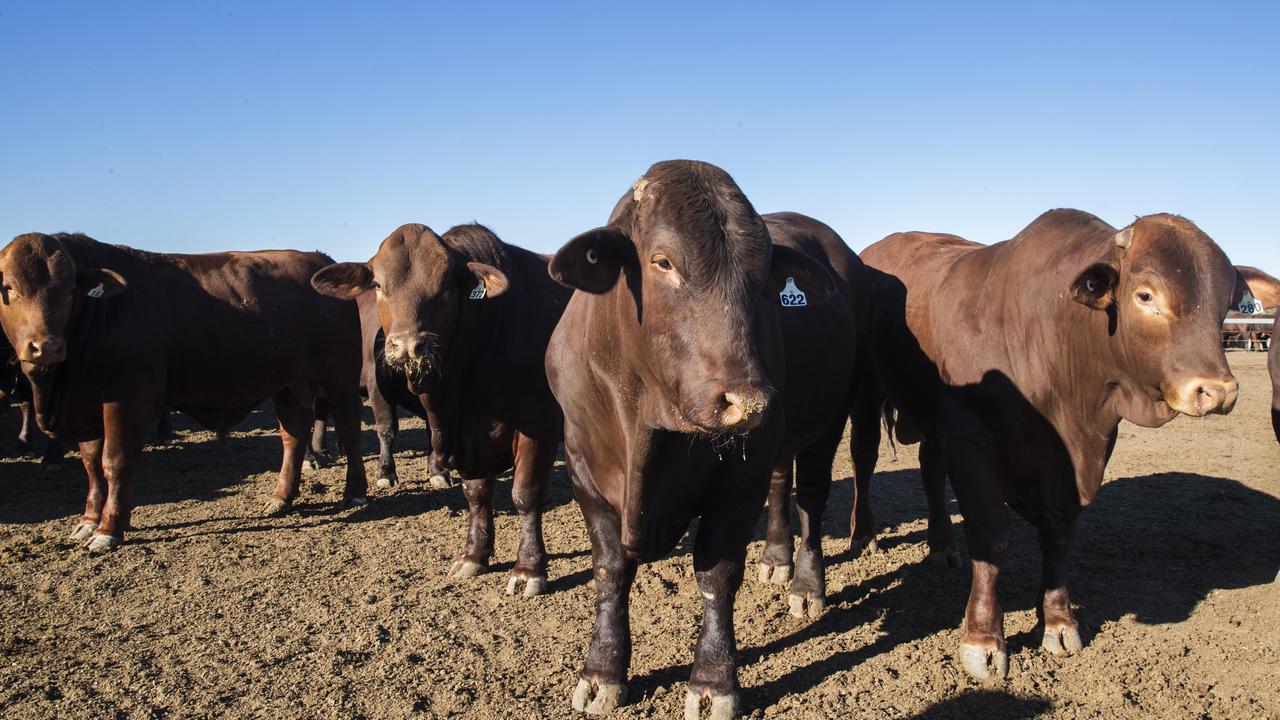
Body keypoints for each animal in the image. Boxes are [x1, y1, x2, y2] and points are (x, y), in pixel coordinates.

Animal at [0, 233, 368, 545]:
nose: (47, 346)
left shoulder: (128, 400)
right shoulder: (87, 403)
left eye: (68, 290)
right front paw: (89, 520)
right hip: (290, 385)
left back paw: (354, 490)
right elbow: (91, 463)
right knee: (293, 435)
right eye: (9, 288)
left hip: (340, 378)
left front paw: (108, 530)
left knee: (348, 428)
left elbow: (115, 461)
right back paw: (281, 497)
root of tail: (319, 259)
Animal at [312, 222, 568, 594]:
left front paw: (528, 569)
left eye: (446, 285)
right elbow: (476, 493)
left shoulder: (539, 425)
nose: (408, 345)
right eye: (378, 284)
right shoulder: (468, 438)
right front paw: (474, 555)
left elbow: (525, 494)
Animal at [542, 159, 849, 712]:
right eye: (662, 261)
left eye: (762, 276)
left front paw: (714, 681)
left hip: (831, 418)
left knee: (812, 498)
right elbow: (610, 571)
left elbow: (716, 575)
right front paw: (602, 672)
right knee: (782, 484)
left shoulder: (739, 480)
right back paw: (776, 558)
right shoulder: (580, 466)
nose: (749, 401)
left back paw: (806, 585)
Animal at [849, 211, 1239, 676]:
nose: (1217, 391)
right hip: (866, 393)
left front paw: (1057, 621)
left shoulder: (1078, 453)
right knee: (864, 457)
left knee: (929, 465)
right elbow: (992, 537)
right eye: (1146, 295)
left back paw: (942, 546)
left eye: (1226, 302)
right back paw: (863, 535)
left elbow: (1059, 533)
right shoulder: (970, 438)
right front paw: (984, 640)